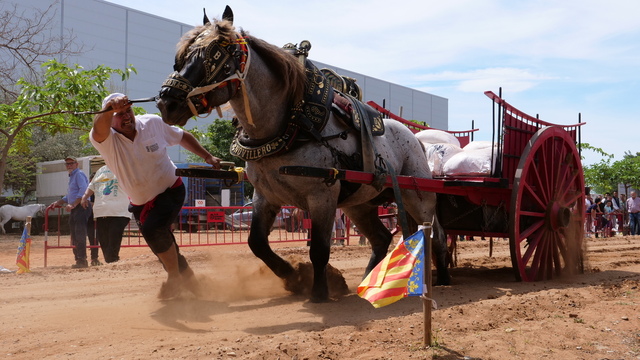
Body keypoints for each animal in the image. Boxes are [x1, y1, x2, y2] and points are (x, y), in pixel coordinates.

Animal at [156, 7, 450, 302]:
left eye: (216, 56)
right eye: (182, 57)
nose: (167, 102)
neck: (291, 128)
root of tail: (416, 138)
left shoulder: (322, 197)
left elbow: (319, 248)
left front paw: (318, 291)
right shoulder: (265, 196)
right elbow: (256, 243)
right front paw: (292, 276)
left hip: (417, 195)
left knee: (434, 234)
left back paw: (443, 278)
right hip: (359, 204)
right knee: (381, 238)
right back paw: (368, 281)